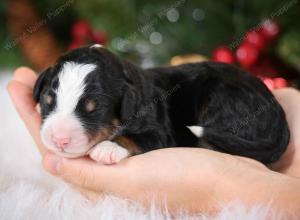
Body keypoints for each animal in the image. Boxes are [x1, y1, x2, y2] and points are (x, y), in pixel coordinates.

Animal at [33, 45, 290, 165]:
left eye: (94, 109)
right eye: (48, 101)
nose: (59, 139)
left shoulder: (159, 132)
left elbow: (135, 138)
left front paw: (108, 147)